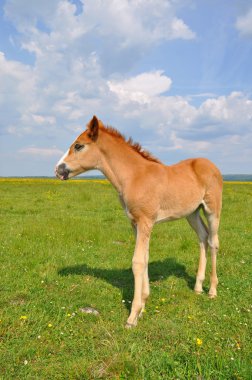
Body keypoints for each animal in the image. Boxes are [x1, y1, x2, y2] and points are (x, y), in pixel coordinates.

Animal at [55, 115, 222, 326]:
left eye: (78, 146)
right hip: (192, 213)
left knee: (213, 242)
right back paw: (198, 287)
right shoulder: (135, 223)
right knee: (202, 237)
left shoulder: (145, 222)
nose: (58, 169)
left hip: (212, 210)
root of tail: (211, 164)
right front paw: (143, 305)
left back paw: (212, 290)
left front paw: (133, 315)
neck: (134, 176)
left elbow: (137, 262)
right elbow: (145, 258)